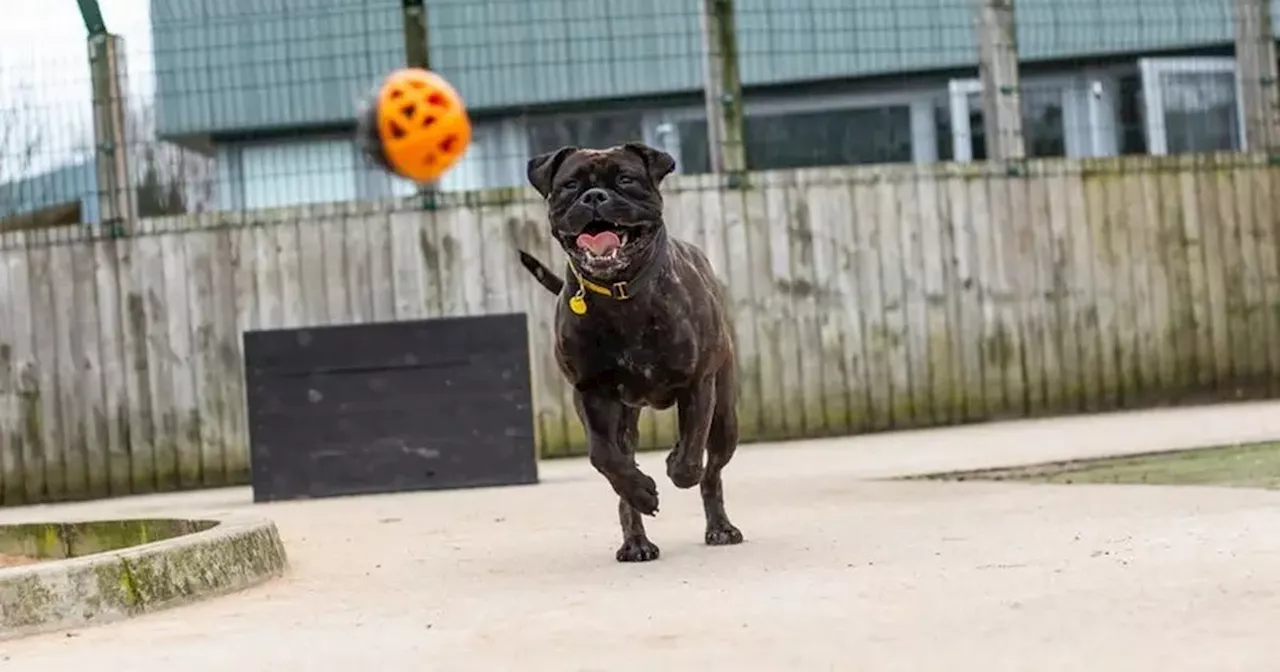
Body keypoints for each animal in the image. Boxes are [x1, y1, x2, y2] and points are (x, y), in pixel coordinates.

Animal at [517, 142, 747, 560]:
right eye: (569, 185)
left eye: (626, 179)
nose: (594, 196)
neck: (620, 293)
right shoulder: (592, 394)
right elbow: (606, 458)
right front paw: (642, 491)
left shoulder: (698, 384)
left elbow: (691, 455)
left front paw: (675, 463)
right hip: (626, 418)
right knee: (621, 471)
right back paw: (636, 541)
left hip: (725, 417)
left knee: (712, 472)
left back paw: (720, 527)